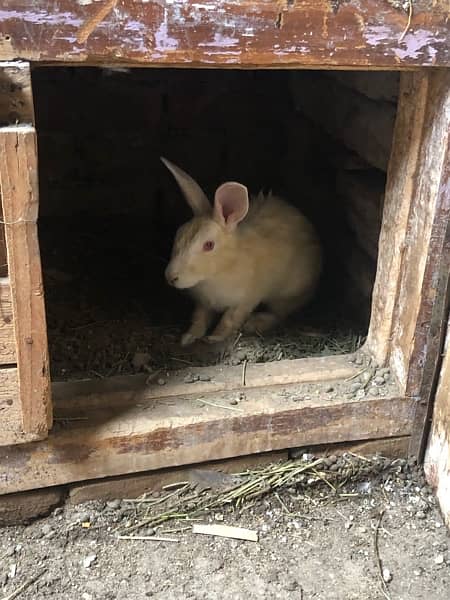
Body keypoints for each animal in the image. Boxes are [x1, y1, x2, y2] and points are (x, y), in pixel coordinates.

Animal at [162, 157, 324, 344]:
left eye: (208, 245)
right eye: (178, 234)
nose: (170, 277)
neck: (223, 267)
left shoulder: (244, 301)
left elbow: (229, 319)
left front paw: (215, 338)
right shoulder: (203, 304)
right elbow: (199, 319)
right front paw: (189, 337)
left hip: (287, 294)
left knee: (279, 314)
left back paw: (255, 323)